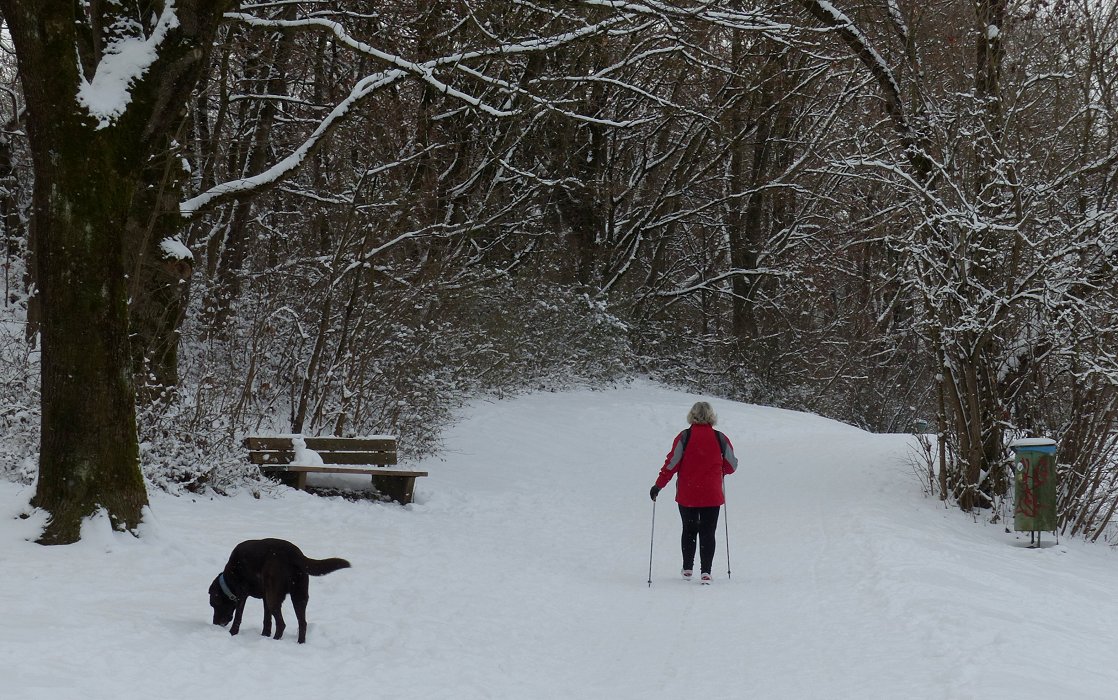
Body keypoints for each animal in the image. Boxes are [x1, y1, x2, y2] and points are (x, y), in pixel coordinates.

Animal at [209, 536, 348, 639]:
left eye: (214, 604)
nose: (215, 623)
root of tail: (296, 555)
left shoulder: (242, 594)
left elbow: (238, 616)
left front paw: (232, 633)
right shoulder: (265, 597)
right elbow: (267, 620)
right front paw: (265, 635)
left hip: (274, 598)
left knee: (282, 624)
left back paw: (276, 640)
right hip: (298, 596)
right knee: (302, 623)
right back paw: (299, 643)